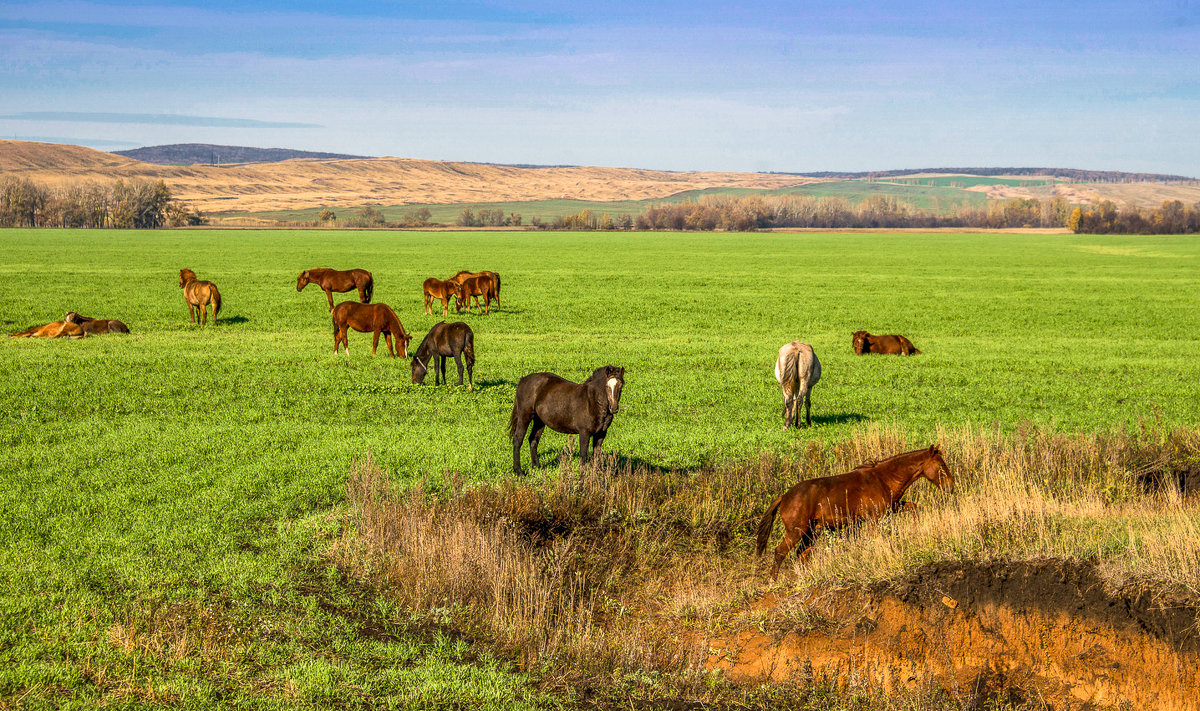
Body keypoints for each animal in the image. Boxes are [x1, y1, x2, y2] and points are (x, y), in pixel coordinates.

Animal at [753, 446, 950, 581]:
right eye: (941, 465)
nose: (952, 487)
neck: (883, 479)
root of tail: (784, 497)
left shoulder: (891, 507)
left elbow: (913, 507)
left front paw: (917, 526)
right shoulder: (873, 518)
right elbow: (874, 539)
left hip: (810, 532)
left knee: (802, 553)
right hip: (797, 530)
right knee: (780, 551)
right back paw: (773, 580)